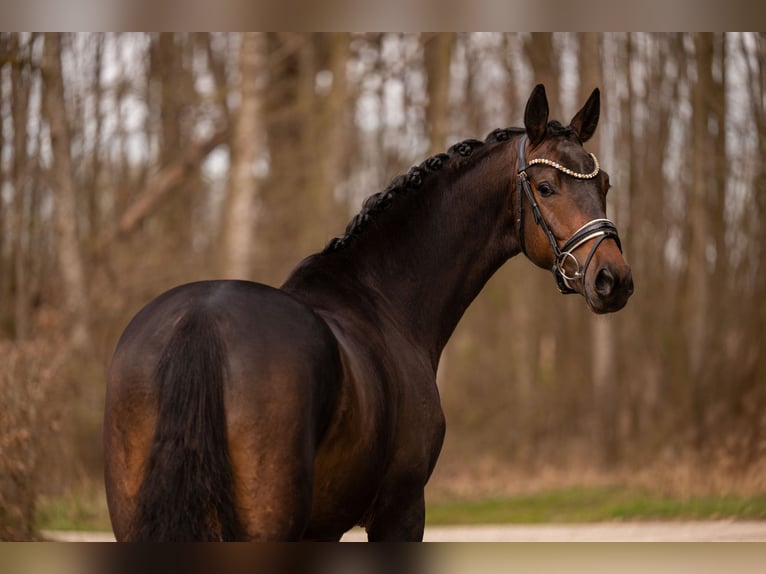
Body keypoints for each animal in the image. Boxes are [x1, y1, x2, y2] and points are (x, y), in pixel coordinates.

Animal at [103, 84, 633, 541]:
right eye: (545, 187)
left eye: (605, 183)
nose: (613, 280)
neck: (383, 300)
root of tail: (202, 322)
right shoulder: (401, 509)